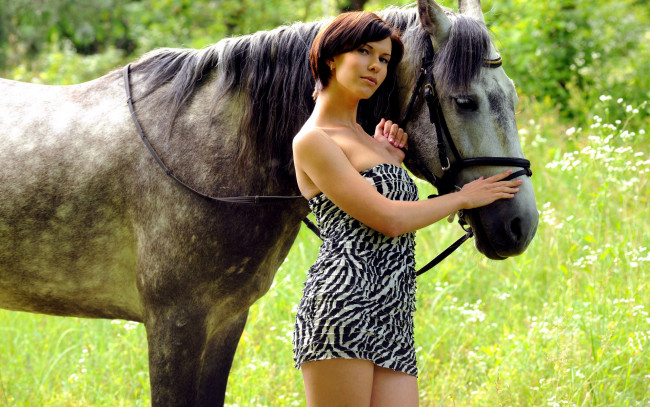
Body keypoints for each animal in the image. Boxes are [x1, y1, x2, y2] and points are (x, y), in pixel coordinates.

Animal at [0, 0, 538, 405]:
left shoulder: (223, 320)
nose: (520, 225)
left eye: (512, 96)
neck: (208, 149)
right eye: (464, 101)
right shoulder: (175, 324)